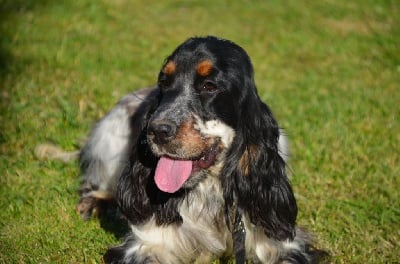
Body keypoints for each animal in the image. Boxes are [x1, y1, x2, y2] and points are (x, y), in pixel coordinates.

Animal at [75, 36, 324, 262]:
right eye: (164, 82)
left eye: (209, 86)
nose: (157, 131)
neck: (209, 187)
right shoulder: (149, 244)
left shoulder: (279, 243)